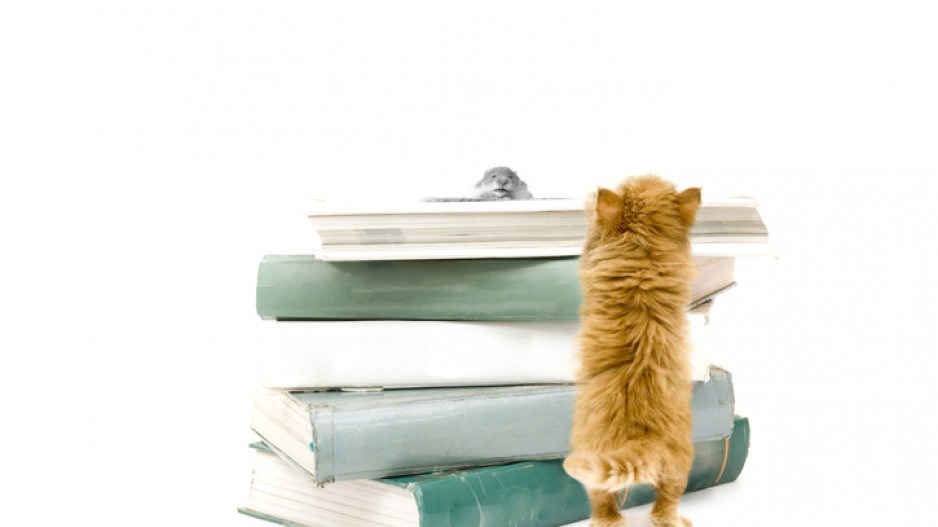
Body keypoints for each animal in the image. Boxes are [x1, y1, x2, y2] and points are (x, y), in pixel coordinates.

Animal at [560, 176, 700, 527]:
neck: (644, 250)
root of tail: (642, 437)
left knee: (607, 502)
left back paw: (608, 520)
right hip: (677, 469)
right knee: (664, 507)